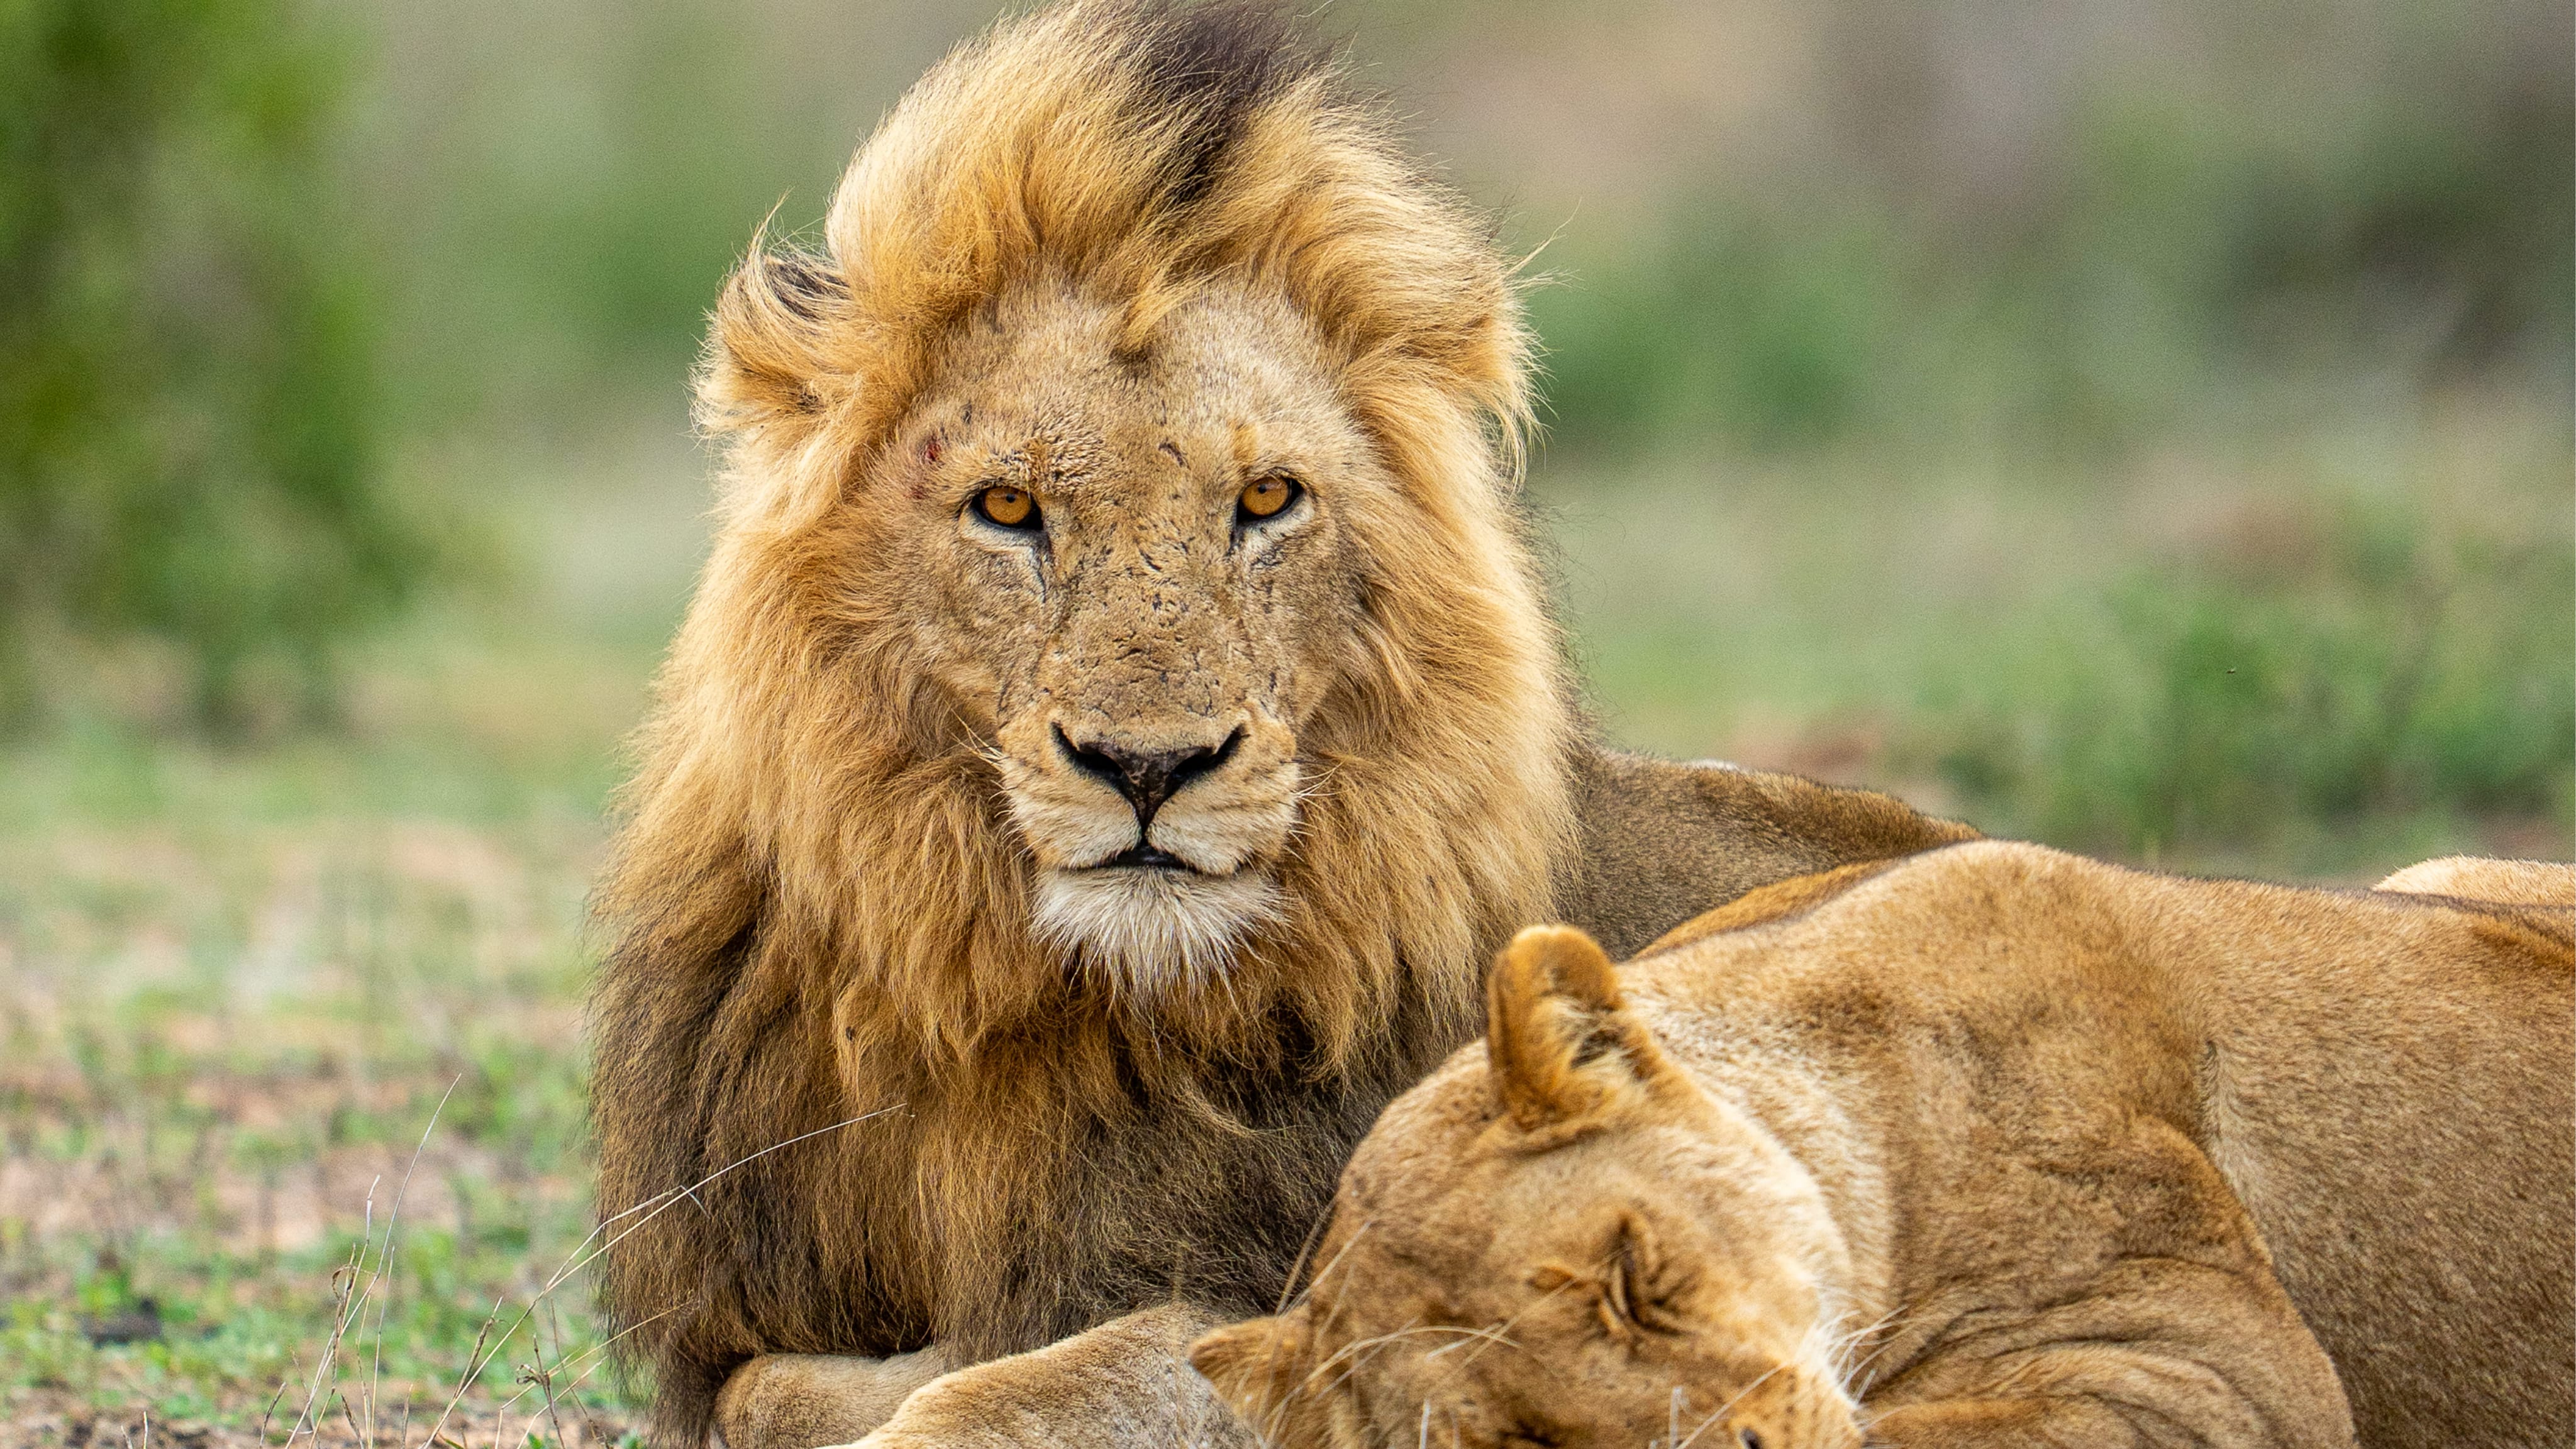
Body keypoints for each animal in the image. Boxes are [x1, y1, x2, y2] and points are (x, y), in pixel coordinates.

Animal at [587, 4, 1974, 1446]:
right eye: (1007, 509)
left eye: (1266, 499)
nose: (1150, 767)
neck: (1044, 1011)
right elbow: (770, 1383)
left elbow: (992, 1398)